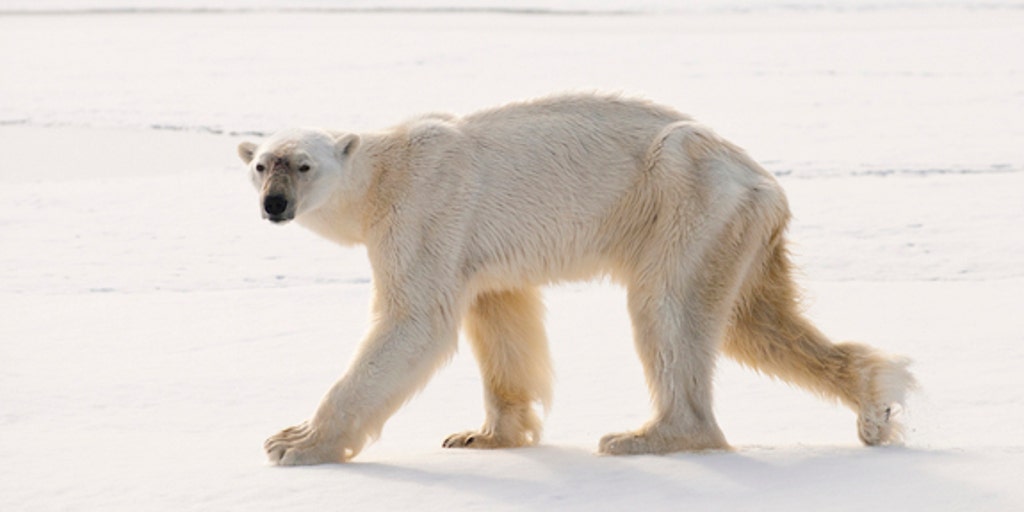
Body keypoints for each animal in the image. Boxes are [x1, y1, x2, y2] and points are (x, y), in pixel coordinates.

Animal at [241, 94, 921, 466]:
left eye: (302, 164)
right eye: (260, 164)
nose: (274, 205)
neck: (382, 172)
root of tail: (762, 180)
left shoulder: (423, 210)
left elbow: (414, 321)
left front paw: (293, 442)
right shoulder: (475, 249)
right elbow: (501, 316)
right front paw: (482, 435)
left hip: (685, 197)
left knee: (667, 308)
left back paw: (647, 435)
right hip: (739, 227)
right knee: (755, 321)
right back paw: (875, 402)